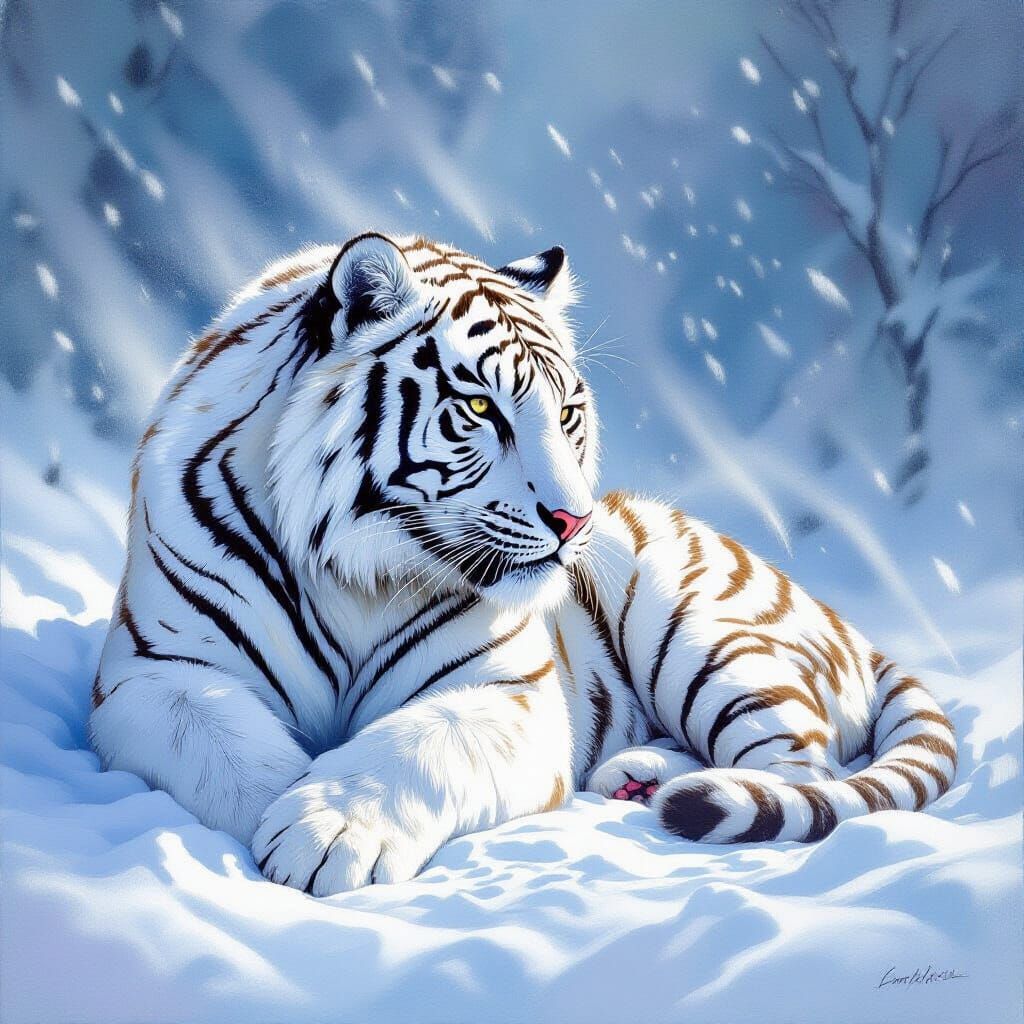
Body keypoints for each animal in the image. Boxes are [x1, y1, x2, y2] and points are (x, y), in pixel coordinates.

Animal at [89, 232, 957, 896]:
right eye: (479, 408)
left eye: (568, 412)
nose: (575, 521)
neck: (357, 571)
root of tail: (854, 629)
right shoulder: (155, 675)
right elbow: (236, 754)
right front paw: (290, 814)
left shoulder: (514, 695)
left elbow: (416, 745)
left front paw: (329, 829)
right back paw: (641, 778)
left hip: (701, 632)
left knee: (807, 774)